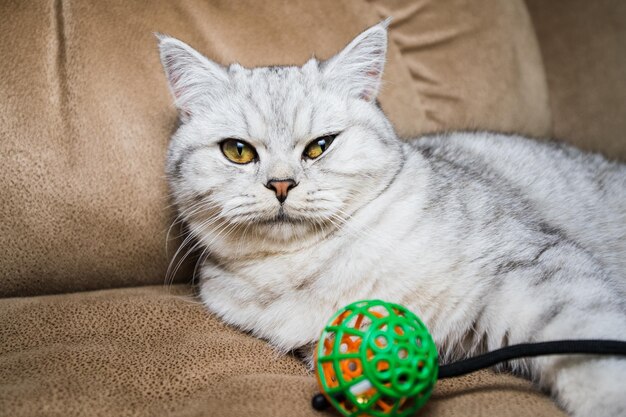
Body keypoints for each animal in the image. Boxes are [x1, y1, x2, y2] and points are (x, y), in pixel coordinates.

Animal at [157, 20, 624, 416]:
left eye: (319, 146)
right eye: (237, 151)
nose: (281, 184)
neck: (307, 267)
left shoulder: (534, 268)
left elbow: (591, 346)